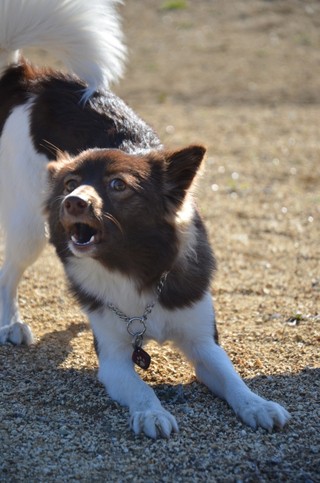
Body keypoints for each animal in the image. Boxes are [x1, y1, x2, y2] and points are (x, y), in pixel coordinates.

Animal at [0, 0, 290, 438]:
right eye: (71, 182)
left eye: (118, 185)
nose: (71, 201)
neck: (135, 269)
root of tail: (32, 79)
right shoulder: (114, 358)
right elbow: (141, 388)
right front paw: (152, 413)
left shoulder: (205, 342)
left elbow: (234, 380)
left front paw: (257, 405)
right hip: (29, 227)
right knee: (8, 272)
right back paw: (12, 324)